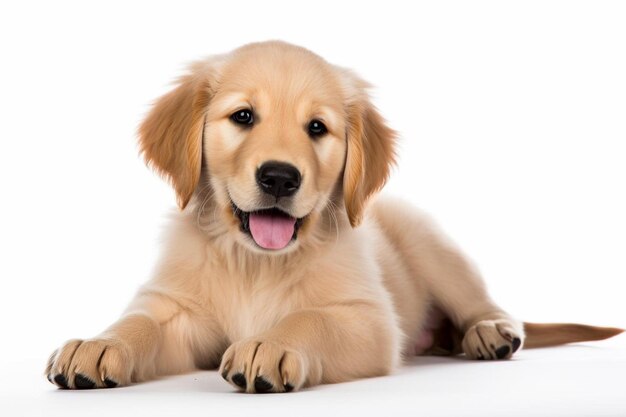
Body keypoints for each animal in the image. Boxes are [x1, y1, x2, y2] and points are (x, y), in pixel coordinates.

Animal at [44, 40, 620, 392]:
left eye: (317, 128)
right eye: (243, 116)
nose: (280, 177)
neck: (253, 263)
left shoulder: (371, 320)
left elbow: (310, 317)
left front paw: (271, 344)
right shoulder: (176, 309)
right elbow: (139, 322)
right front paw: (98, 345)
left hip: (430, 242)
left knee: (485, 303)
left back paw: (490, 332)